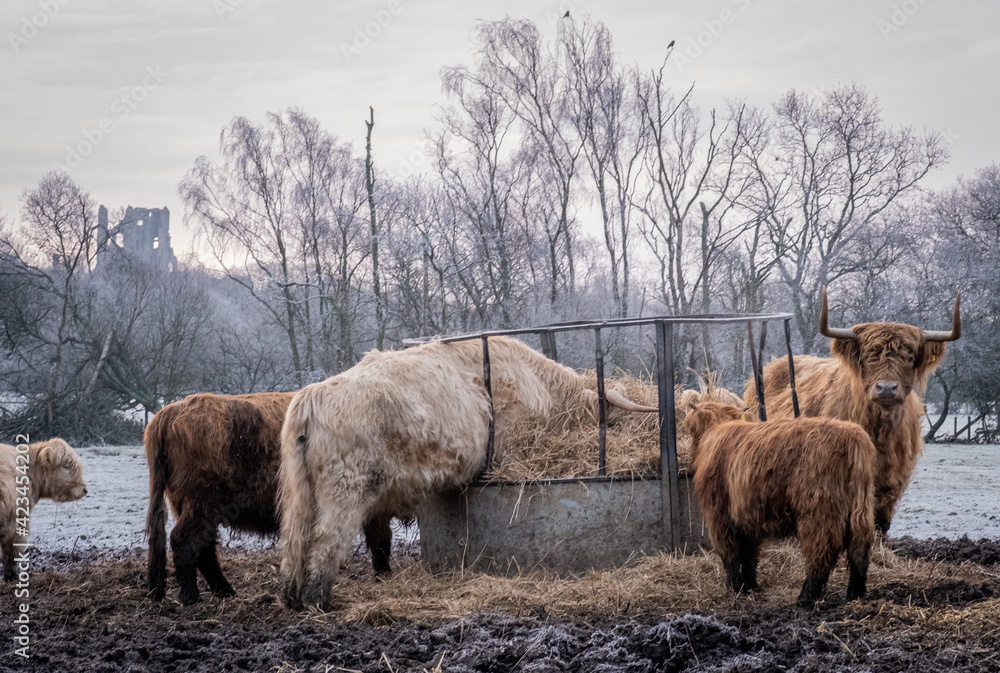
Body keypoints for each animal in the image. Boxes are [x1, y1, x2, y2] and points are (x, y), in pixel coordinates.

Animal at [145, 392, 403, 605]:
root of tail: (171, 411)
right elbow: (381, 540)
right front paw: (384, 575)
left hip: (198, 507)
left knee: (204, 547)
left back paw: (224, 591)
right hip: (201, 503)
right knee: (184, 541)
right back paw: (192, 597)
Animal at [278, 335, 657, 610]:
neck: (540, 386)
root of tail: (313, 394)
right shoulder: (510, 453)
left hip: (305, 495)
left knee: (296, 539)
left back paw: (292, 597)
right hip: (346, 489)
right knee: (327, 539)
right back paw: (316, 600)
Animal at [684, 401, 877, 605]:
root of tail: (852, 435)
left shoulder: (719, 516)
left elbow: (731, 554)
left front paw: (734, 588)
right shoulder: (748, 517)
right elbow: (749, 554)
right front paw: (749, 586)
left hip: (817, 510)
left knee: (822, 549)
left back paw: (806, 596)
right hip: (861, 507)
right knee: (859, 548)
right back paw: (855, 593)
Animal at [744, 288, 960, 533]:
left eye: (909, 358)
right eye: (868, 357)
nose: (886, 388)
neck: (880, 432)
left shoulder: (893, 483)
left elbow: (880, 525)